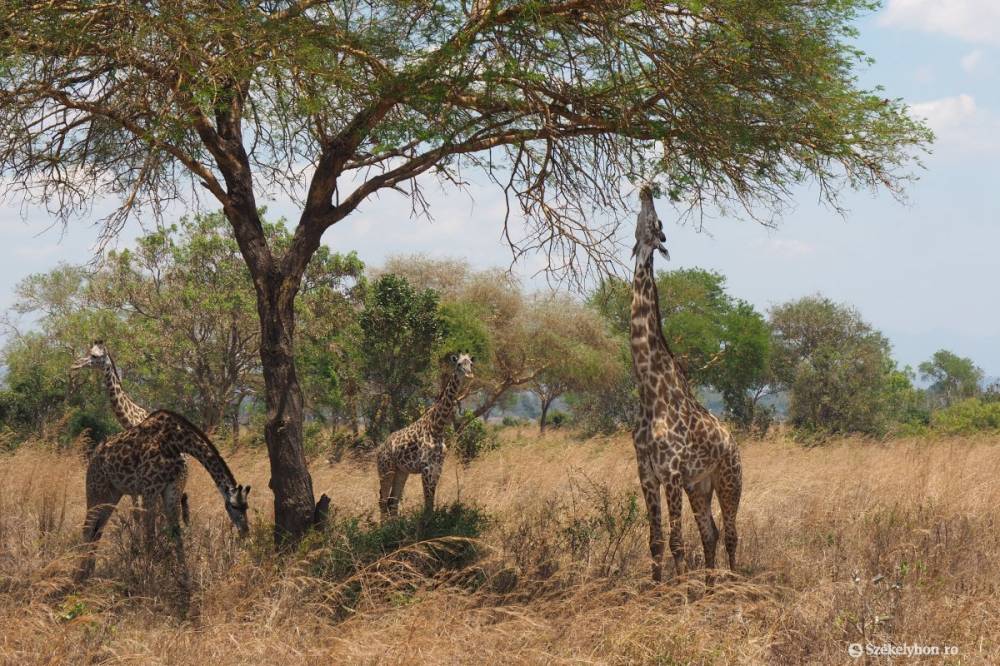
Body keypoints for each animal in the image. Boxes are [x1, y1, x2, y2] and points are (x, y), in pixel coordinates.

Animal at [75, 408, 250, 584]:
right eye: (234, 506)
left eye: (246, 507)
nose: (245, 531)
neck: (176, 443)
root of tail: (93, 455)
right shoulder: (149, 489)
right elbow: (150, 536)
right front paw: (149, 579)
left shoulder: (171, 489)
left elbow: (176, 534)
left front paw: (184, 578)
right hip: (96, 488)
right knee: (88, 527)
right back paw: (79, 576)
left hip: (113, 493)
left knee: (98, 529)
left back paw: (90, 573)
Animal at [376, 350, 474, 520]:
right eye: (458, 364)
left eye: (471, 364)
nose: (469, 375)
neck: (437, 427)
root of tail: (379, 450)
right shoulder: (426, 467)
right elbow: (428, 503)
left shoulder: (437, 467)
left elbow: (430, 503)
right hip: (386, 469)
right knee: (382, 500)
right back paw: (382, 527)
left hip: (401, 471)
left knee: (392, 501)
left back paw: (393, 525)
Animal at [632, 184, 744, 580]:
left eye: (658, 223)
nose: (646, 188)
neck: (650, 391)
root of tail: (733, 442)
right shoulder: (647, 474)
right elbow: (655, 542)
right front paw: (656, 588)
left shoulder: (672, 473)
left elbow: (677, 542)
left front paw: (677, 589)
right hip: (701, 486)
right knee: (710, 533)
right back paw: (709, 586)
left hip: (729, 481)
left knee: (731, 533)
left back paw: (730, 583)